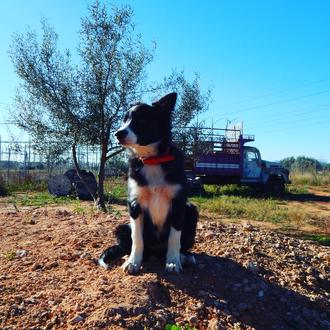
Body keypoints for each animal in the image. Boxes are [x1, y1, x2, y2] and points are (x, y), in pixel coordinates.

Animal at [96, 92, 197, 274]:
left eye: (142, 120)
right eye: (124, 120)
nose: (117, 133)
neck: (152, 159)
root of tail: (157, 252)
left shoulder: (179, 204)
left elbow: (174, 237)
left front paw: (173, 262)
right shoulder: (135, 204)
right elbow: (137, 238)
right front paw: (133, 262)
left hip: (191, 210)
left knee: (179, 246)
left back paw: (183, 257)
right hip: (121, 228)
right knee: (139, 247)